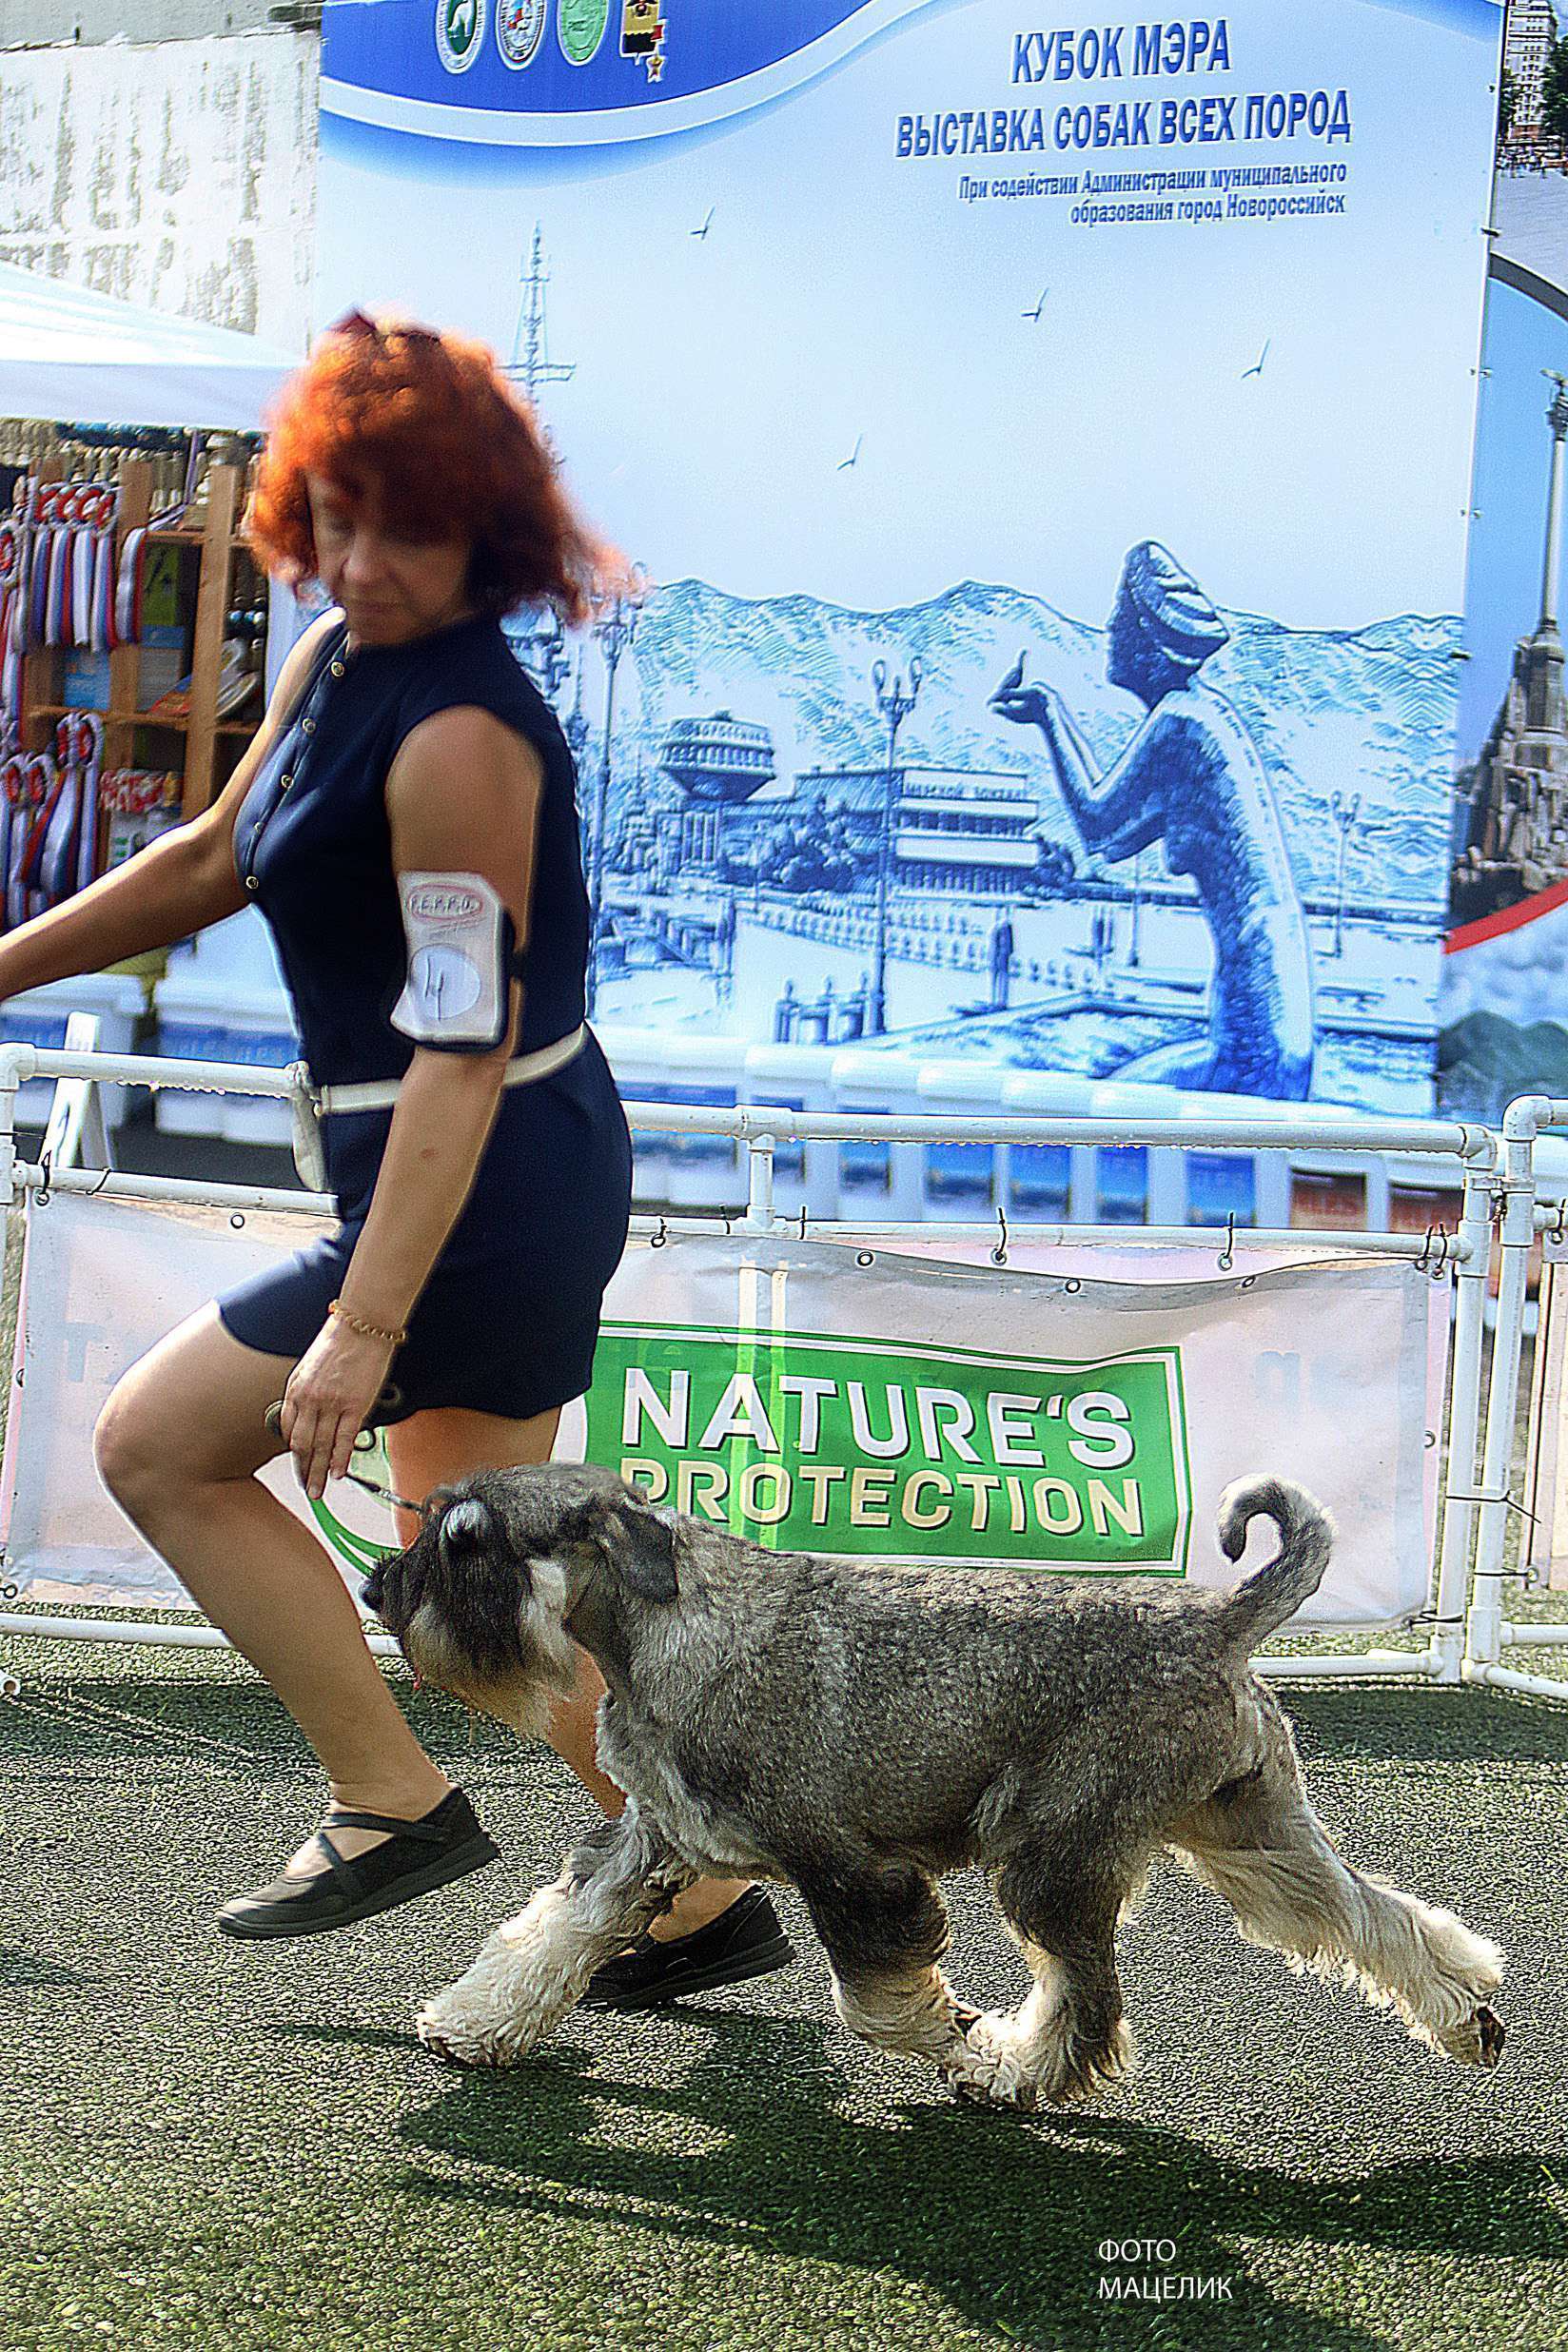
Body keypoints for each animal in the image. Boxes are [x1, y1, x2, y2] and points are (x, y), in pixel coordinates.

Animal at [360, 1465, 1506, 2109]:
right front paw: (475, 2023)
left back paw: (1011, 2075)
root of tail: (1210, 1622)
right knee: (1372, 1917)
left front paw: (950, 2036)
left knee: (1087, 2000)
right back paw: (1468, 2018)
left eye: (467, 1543)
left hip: (1050, 1865)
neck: (669, 1629)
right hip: (1251, 1842)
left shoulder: (851, 1871)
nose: (377, 1586)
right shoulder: (645, 1840)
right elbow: (553, 1932)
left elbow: (873, 2000)